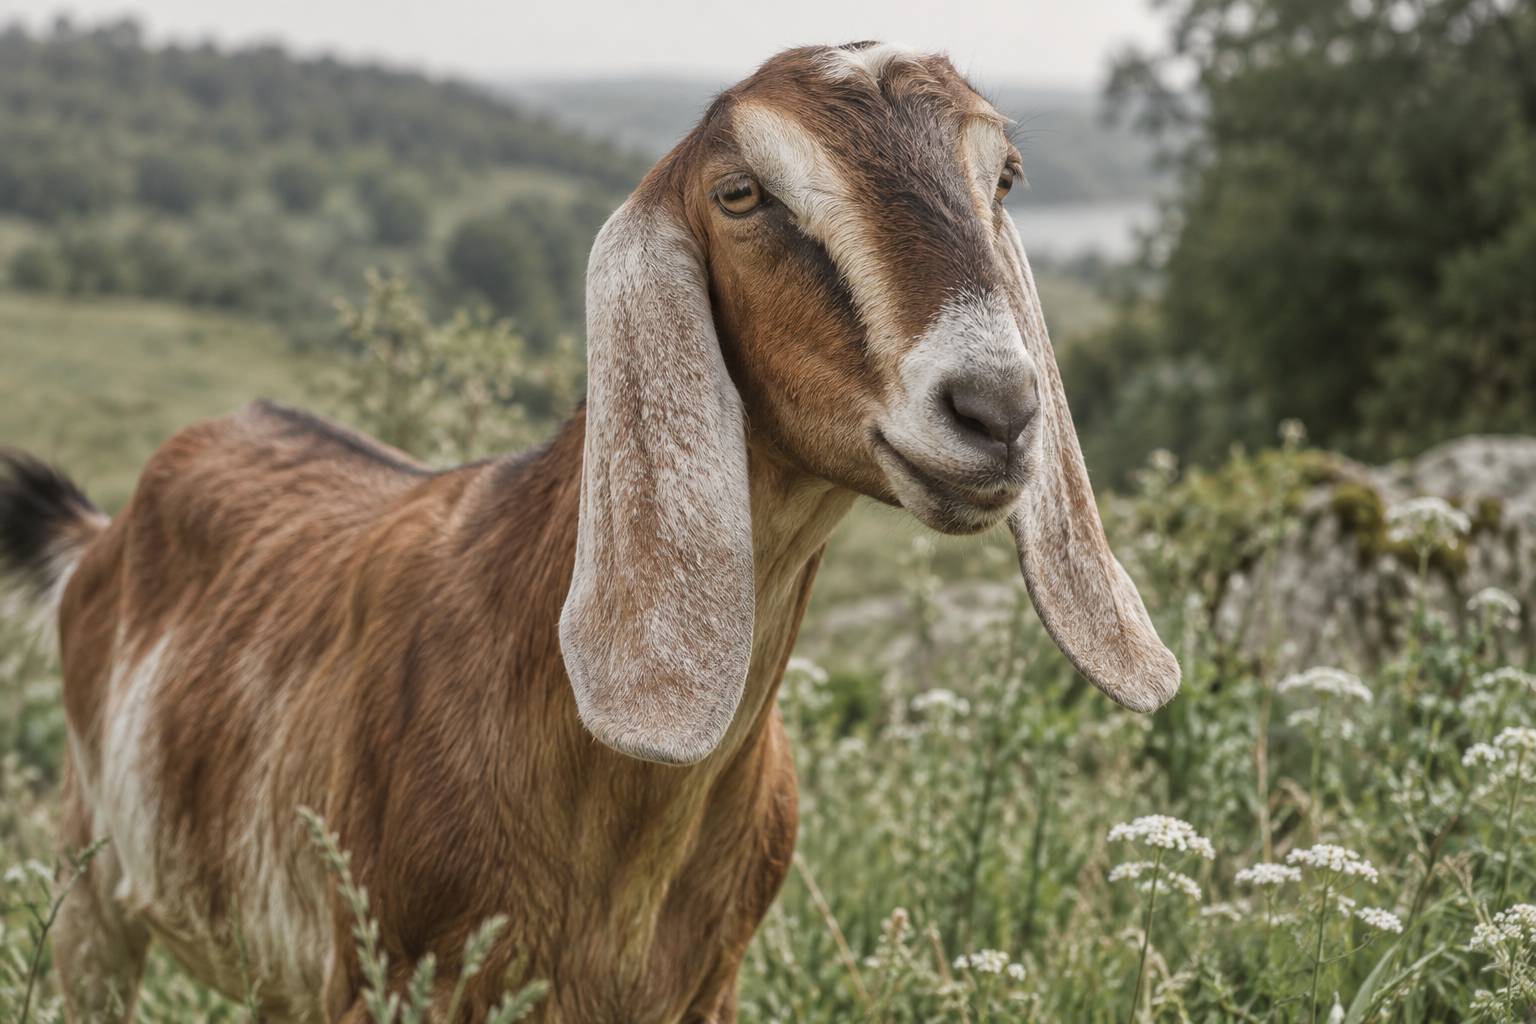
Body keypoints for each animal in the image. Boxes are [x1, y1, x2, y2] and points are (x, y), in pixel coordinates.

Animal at [0, 42, 1178, 1024]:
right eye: (741, 193)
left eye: (1006, 177)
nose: (996, 410)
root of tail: (103, 534)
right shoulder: (384, 975)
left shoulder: (705, 989)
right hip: (92, 894)